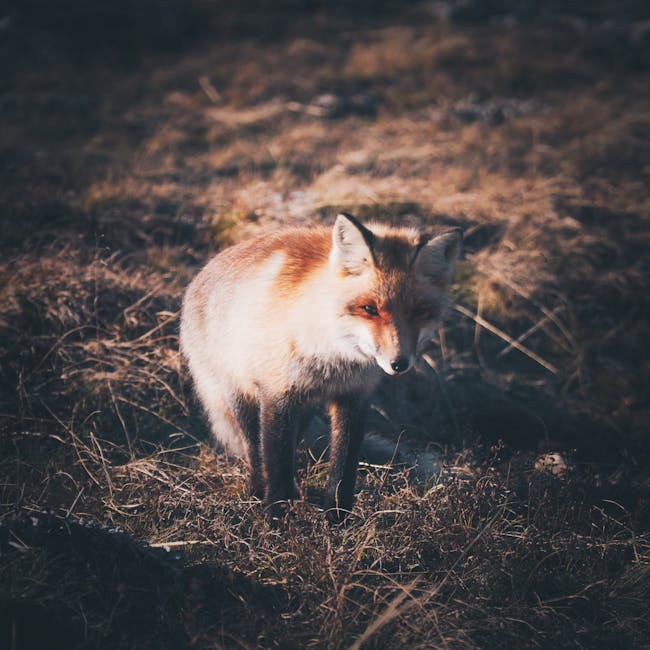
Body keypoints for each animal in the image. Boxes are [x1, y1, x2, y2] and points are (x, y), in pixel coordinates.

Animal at [180, 213, 461, 519]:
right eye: (369, 309)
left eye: (419, 312)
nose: (399, 363)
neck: (333, 358)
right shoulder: (277, 394)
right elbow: (276, 462)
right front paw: (277, 516)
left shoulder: (354, 395)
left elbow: (344, 464)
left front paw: (338, 517)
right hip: (240, 394)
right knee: (255, 449)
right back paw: (257, 490)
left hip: (304, 408)